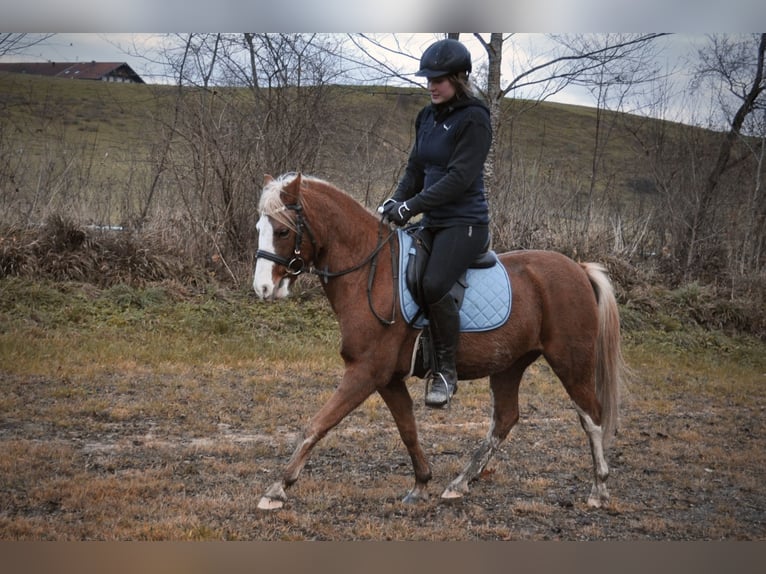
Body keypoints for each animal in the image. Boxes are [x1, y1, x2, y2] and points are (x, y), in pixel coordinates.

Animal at [255, 172, 628, 512]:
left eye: (283, 231)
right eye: (259, 228)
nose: (262, 289)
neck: (371, 273)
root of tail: (578, 268)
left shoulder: (366, 372)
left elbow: (317, 425)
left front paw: (277, 488)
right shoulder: (387, 379)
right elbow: (407, 429)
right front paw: (421, 484)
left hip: (571, 361)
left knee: (591, 416)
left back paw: (599, 489)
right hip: (509, 364)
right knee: (505, 419)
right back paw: (460, 483)